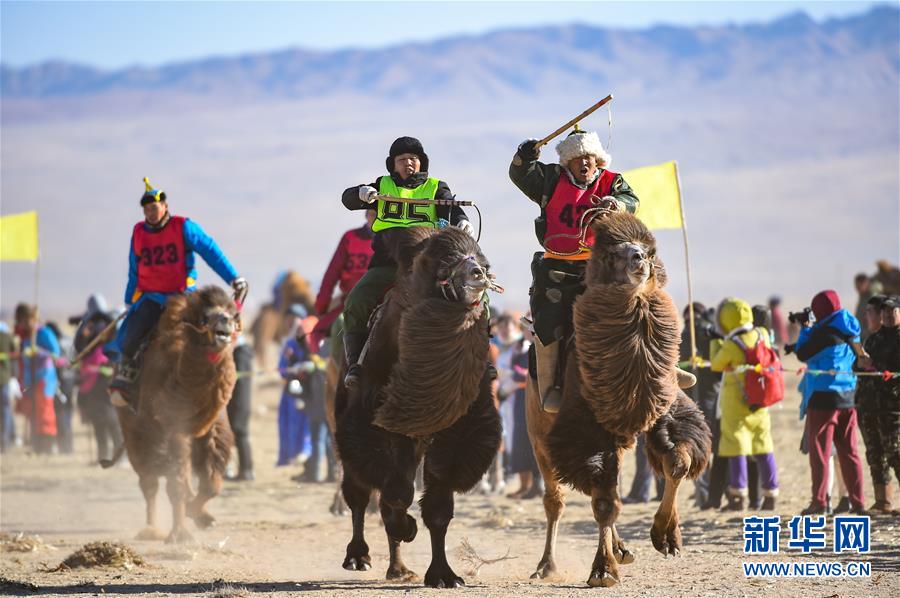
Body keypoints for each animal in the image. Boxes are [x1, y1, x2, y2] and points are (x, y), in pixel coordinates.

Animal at [106, 288, 241, 548]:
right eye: (207, 316)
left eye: (231, 311)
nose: (226, 322)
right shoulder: (172, 429)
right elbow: (175, 483)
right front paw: (181, 535)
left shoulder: (211, 428)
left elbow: (211, 482)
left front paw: (199, 514)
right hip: (134, 430)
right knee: (149, 481)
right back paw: (151, 529)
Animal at [336, 227, 506, 588]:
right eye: (440, 264)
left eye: (481, 257)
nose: (478, 273)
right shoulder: (379, 421)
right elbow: (397, 492)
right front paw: (406, 527)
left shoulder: (457, 429)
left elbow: (438, 507)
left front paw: (444, 574)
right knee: (358, 491)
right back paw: (359, 556)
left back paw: (398, 568)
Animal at [528, 213, 712, 588]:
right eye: (613, 254)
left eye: (649, 250)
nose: (639, 259)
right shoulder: (585, 430)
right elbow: (603, 502)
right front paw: (602, 570)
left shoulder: (664, 408)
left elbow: (678, 462)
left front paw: (666, 537)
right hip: (538, 436)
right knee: (556, 499)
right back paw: (547, 565)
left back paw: (623, 549)